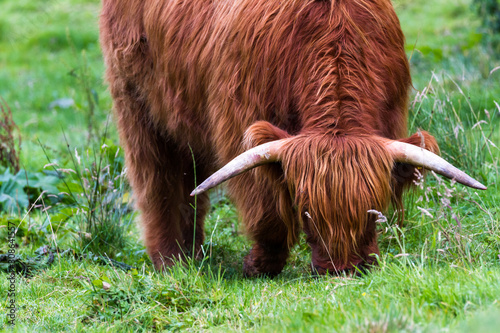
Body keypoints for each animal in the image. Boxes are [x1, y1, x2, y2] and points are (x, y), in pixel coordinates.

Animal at [99, 0, 486, 274]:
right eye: (306, 213)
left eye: (373, 212)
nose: (343, 270)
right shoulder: (238, 122)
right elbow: (265, 207)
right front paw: (260, 265)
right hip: (135, 102)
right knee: (157, 180)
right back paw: (170, 261)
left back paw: (191, 253)